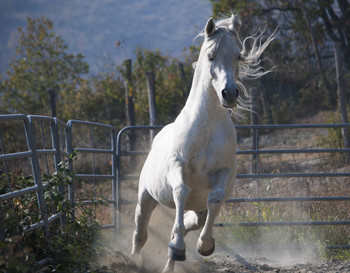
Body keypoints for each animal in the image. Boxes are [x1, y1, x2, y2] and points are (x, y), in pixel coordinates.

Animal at [131, 13, 276, 270]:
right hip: (146, 196)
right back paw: (134, 260)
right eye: (211, 55)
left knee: (189, 222)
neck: (207, 128)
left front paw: (204, 246)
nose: (229, 94)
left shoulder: (223, 172)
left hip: (197, 210)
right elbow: (181, 191)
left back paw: (171, 258)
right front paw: (180, 247)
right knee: (141, 231)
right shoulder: (178, 167)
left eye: (238, 55)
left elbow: (215, 201)